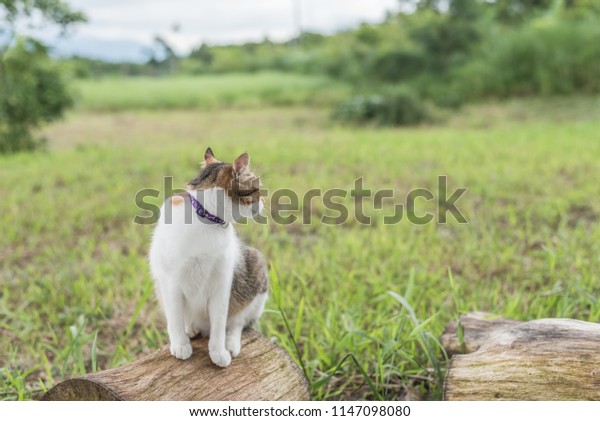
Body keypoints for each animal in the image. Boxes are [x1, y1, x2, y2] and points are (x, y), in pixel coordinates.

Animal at [150, 146, 270, 366]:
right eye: (256, 189)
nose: (264, 201)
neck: (206, 218)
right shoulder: (170, 282)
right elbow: (175, 318)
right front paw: (180, 343)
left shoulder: (222, 283)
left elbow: (220, 323)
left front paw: (218, 350)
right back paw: (190, 329)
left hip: (257, 268)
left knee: (237, 323)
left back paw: (230, 343)